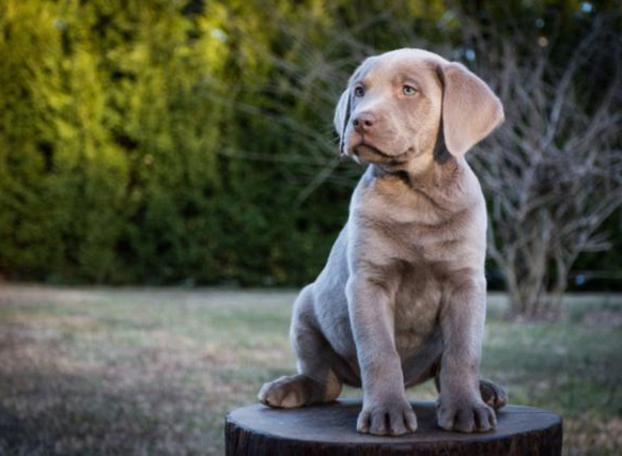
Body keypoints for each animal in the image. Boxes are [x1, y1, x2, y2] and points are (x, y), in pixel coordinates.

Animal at [258, 48, 508, 436]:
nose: (360, 121)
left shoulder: (466, 283)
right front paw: (387, 413)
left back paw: (485, 391)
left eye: (409, 90)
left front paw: (466, 408)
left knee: (441, 371)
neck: (415, 194)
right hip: (305, 306)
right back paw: (288, 388)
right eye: (360, 91)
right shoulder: (368, 283)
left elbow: (463, 352)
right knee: (323, 381)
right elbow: (380, 352)